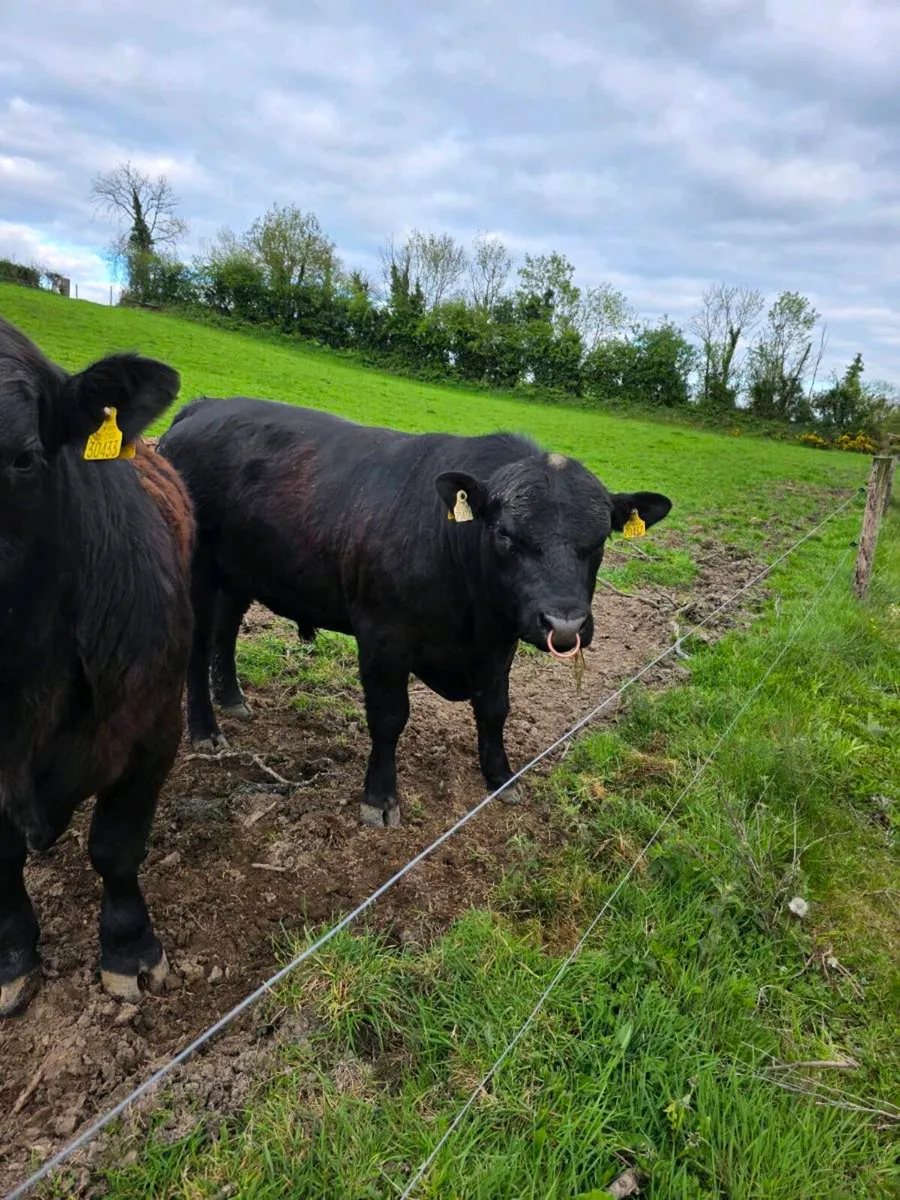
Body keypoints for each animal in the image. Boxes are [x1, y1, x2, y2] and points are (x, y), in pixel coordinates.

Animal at [158, 397, 672, 829]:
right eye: (505, 534)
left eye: (600, 539)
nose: (564, 626)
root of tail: (204, 406)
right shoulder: (383, 637)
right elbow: (389, 717)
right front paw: (380, 799)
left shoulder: (498, 645)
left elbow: (495, 710)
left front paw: (500, 778)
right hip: (198, 571)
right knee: (199, 646)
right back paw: (206, 729)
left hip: (239, 572)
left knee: (226, 632)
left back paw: (232, 699)